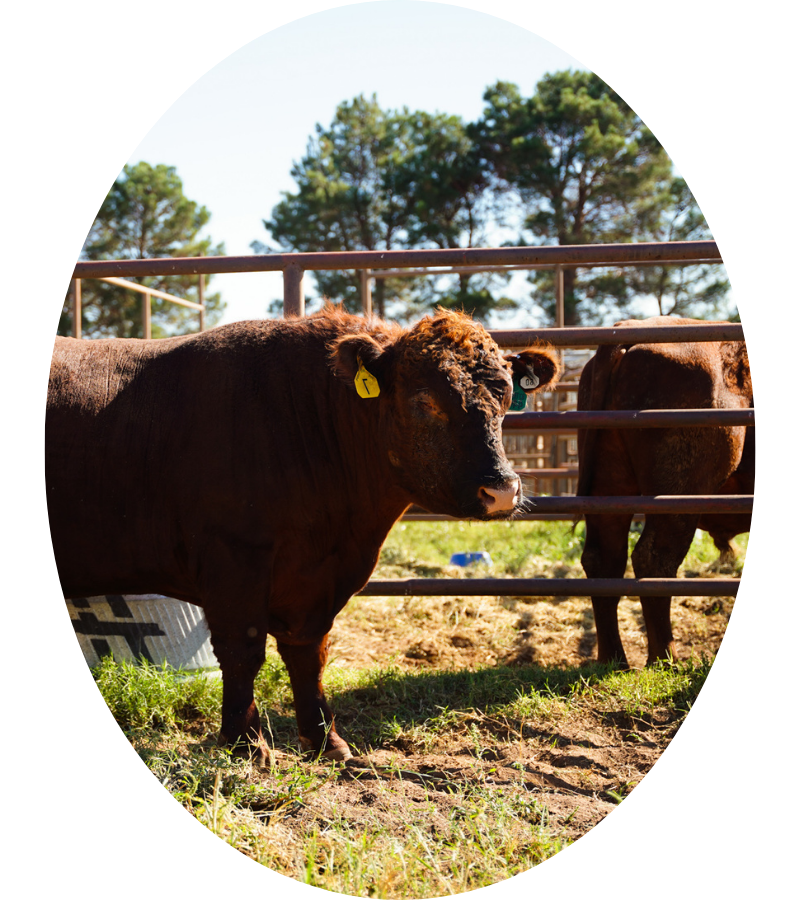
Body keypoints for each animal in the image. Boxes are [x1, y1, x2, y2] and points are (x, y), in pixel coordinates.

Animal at [46, 303, 560, 766]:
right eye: (424, 403)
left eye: (504, 400)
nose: (502, 490)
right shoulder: (235, 557)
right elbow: (242, 651)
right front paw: (245, 745)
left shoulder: (315, 580)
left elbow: (308, 654)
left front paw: (326, 742)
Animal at [576, 316, 755, 669]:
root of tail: (628, 329)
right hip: (679, 495)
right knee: (654, 558)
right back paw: (665, 658)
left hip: (609, 488)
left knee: (603, 560)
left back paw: (614, 659)